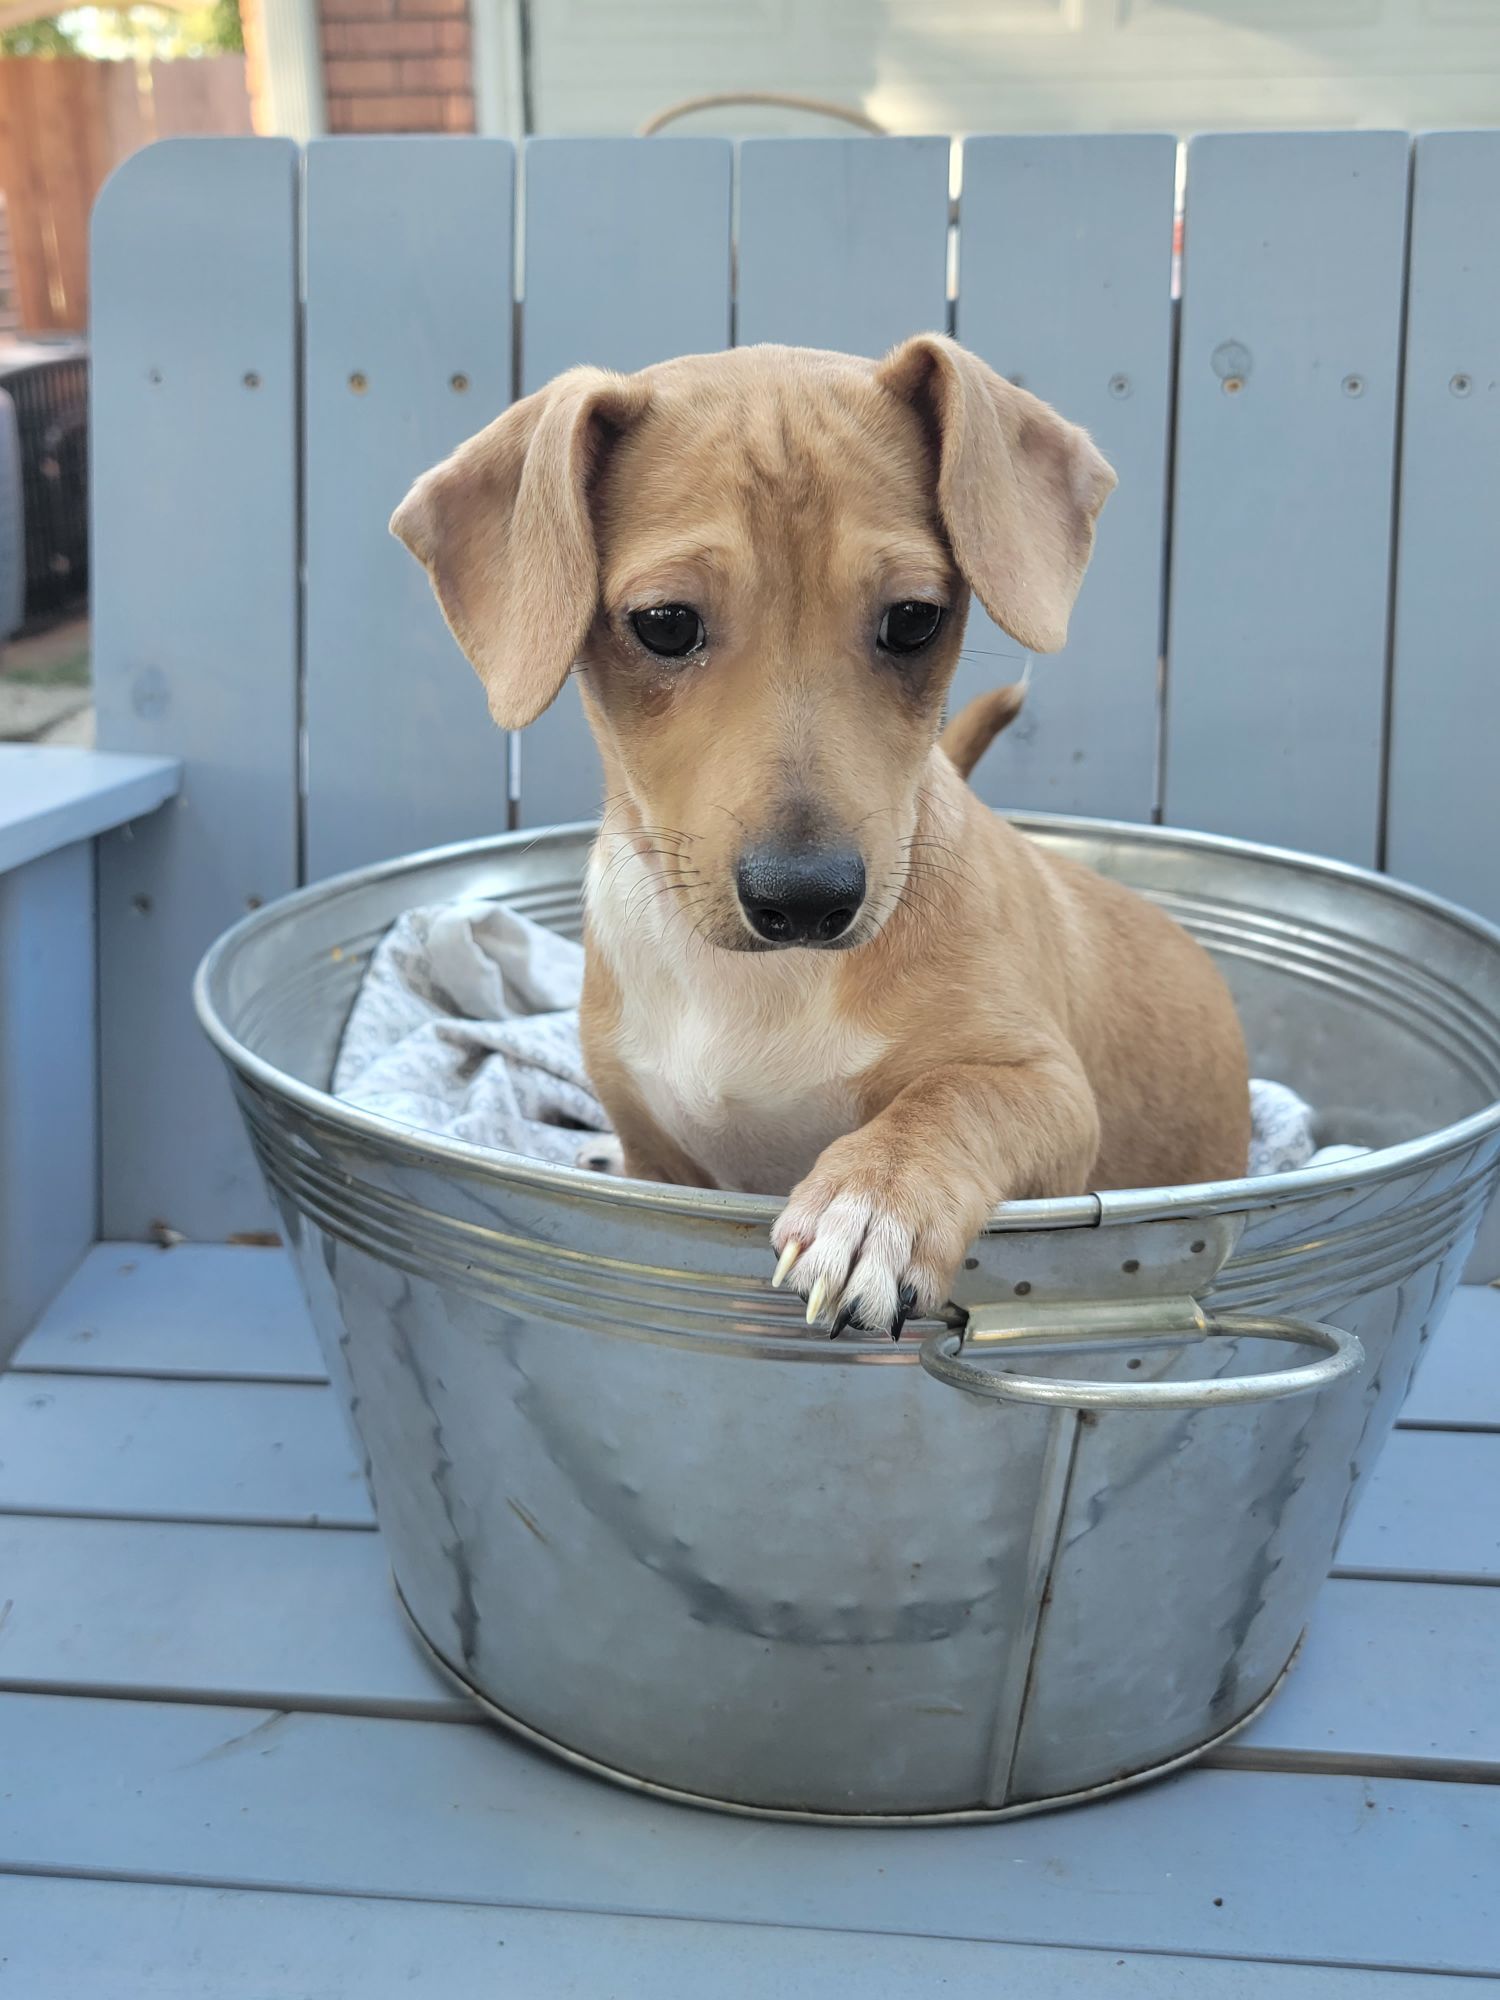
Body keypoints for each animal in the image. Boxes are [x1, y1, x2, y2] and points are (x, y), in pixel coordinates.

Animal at [393, 336, 1251, 1339]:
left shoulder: (1051, 1092)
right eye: (664, 624)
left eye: (915, 618)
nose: (806, 900)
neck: (761, 988)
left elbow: (953, 1095)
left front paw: (874, 1203)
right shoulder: (660, 1159)